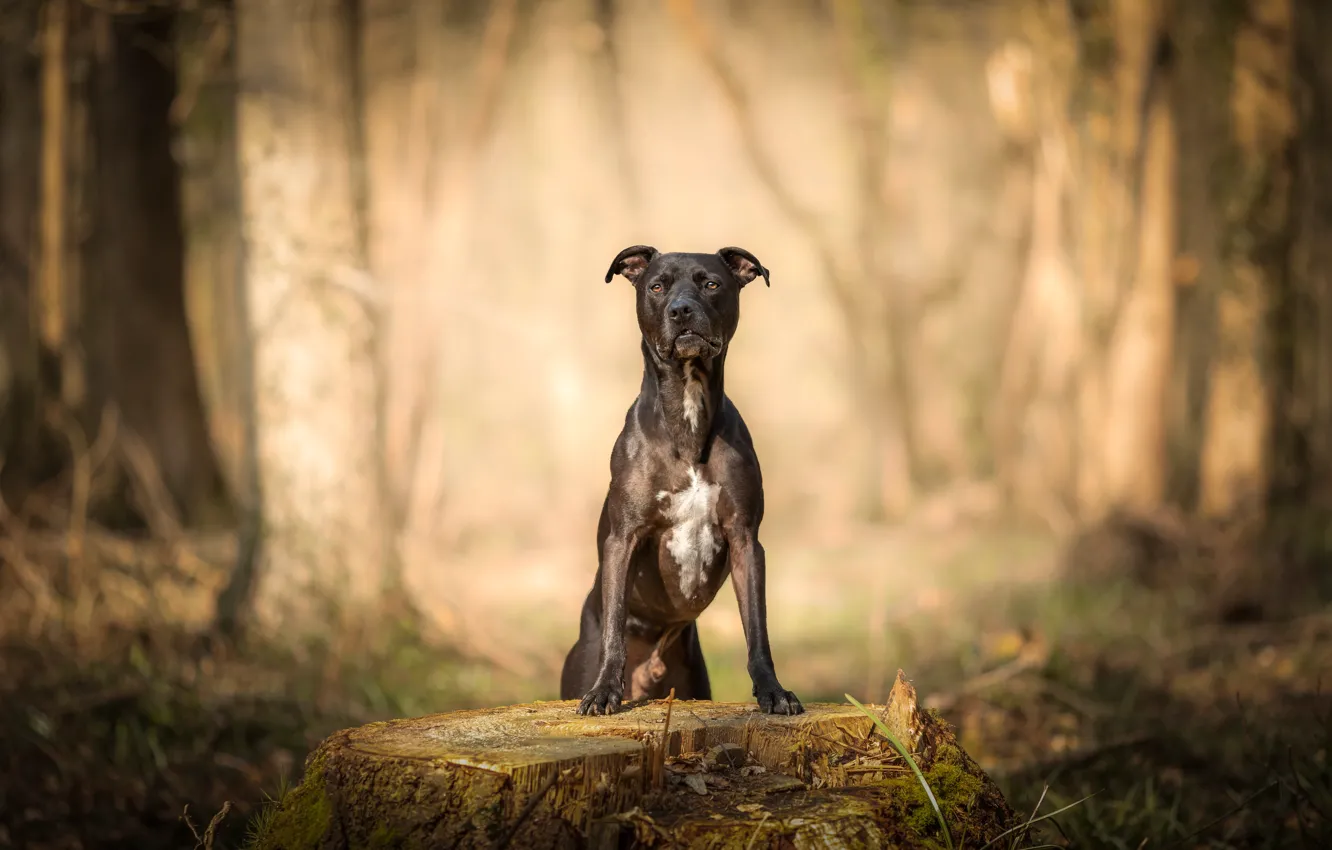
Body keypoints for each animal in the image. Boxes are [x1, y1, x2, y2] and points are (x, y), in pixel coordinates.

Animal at [559, 246, 799, 719]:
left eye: (711, 283)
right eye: (656, 286)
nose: (681, 309)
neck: (687, 414)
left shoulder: (746, 540)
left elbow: (757, 631)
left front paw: (773, 691)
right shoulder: (624, 538)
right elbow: (614, 623)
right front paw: (603, 691)